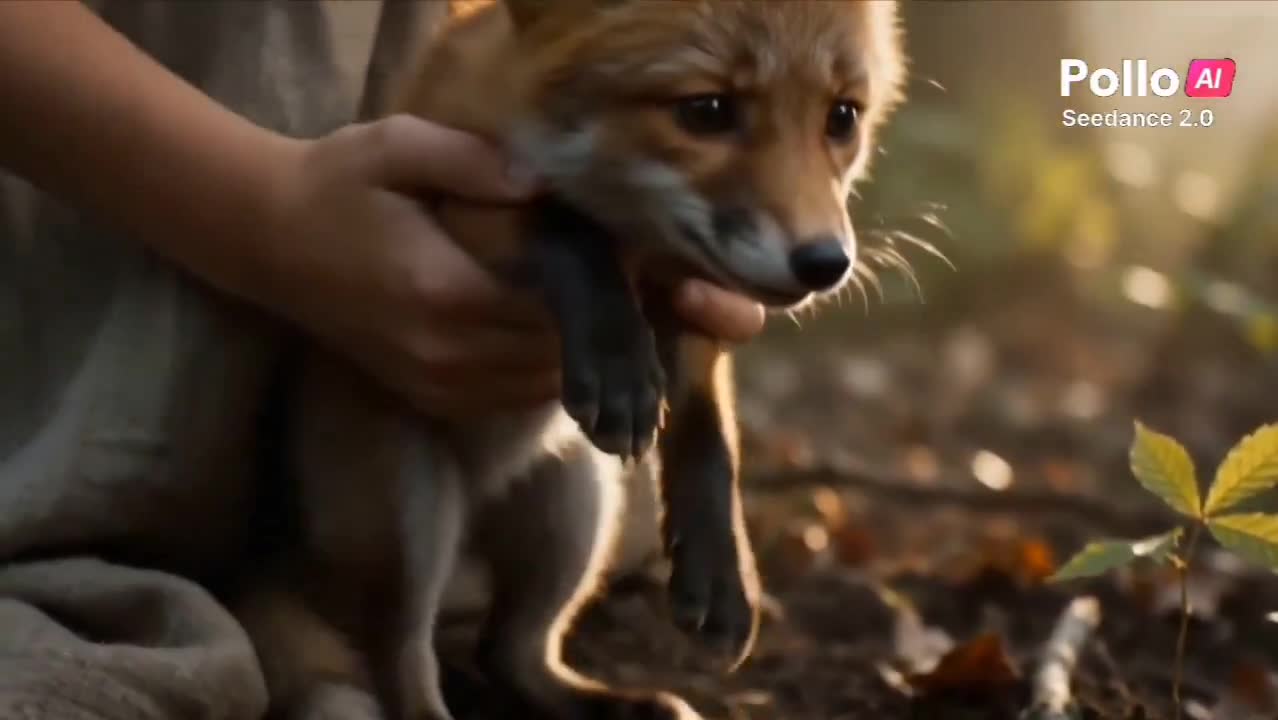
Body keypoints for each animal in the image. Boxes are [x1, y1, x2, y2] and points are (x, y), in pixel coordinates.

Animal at [234, 1, 908, 720]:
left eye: (842, 117)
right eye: (707, 109)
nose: (825, 262)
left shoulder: (694, 305)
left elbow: (710, 442)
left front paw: (722, 573)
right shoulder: (453, 192)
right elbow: (562, 224)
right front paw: (616, 360)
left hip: (578, 510)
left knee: (508, 653)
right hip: (411, 525)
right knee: (399, 663)